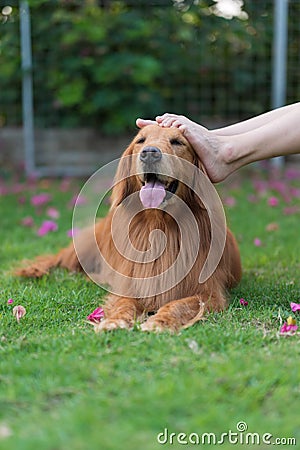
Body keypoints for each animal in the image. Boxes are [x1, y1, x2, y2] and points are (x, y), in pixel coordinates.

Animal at [15, 125, 241, 332]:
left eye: (178, 142)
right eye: (141, 140)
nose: (149, 153)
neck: (160, 226)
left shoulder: (208, 293)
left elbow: (179, 305)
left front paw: (160, 321)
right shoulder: (131, 285)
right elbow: (125, 304)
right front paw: (115, 320)